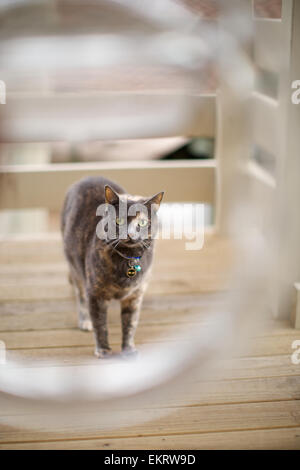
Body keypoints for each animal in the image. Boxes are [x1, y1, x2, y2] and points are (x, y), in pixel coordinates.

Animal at [61, 175, 164, 356]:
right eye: (119, 220)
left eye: (142, 223)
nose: (130, 234)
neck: (128, 258)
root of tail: (87, 177)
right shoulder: (95, 294)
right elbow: (100, 324)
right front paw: (104, 350)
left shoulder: (135, 296)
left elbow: (130, 324)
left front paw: (128, 349)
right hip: (75, 267)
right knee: (80, 296)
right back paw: (85, 321)